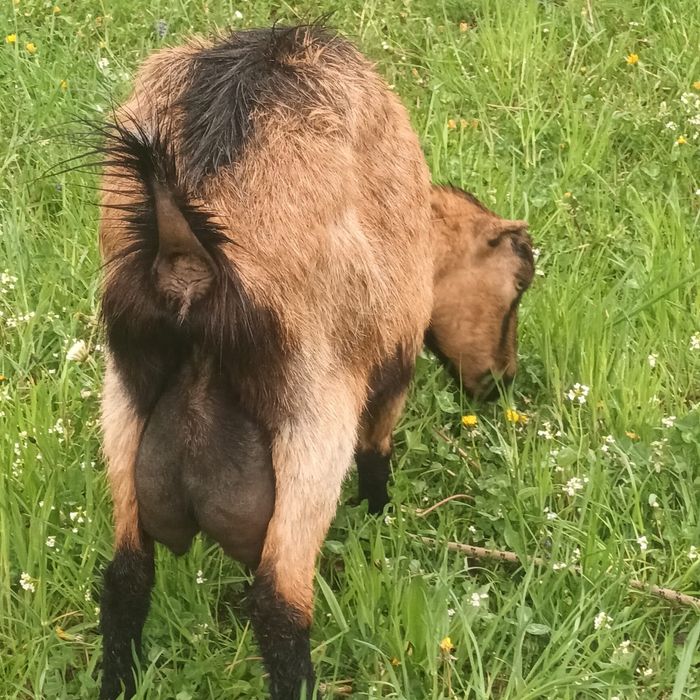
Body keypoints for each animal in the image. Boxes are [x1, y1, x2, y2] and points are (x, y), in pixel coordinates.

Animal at [97, 24, 433, 700]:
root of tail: (185, 256)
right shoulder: (396, 344)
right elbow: (379, 441)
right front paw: (378, 513)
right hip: (312, 415)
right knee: (279, 601)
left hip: (123, 404)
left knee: (127, 576)